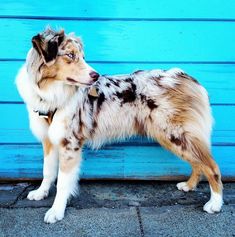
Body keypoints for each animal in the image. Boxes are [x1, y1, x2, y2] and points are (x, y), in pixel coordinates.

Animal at [15, 27, 223, 222]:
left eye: (82, 57)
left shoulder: (70, 143)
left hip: (175, 134)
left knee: (211, 166)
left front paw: (56, 211)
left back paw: (215, 203)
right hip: (172, 137)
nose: (96, 75)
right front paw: (41, 193)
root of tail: (188, 78)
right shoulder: (49, 140)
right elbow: (48, 171)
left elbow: (63, 182)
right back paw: (189, 186)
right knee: (198, 163)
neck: (51, 93)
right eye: (70, 55)